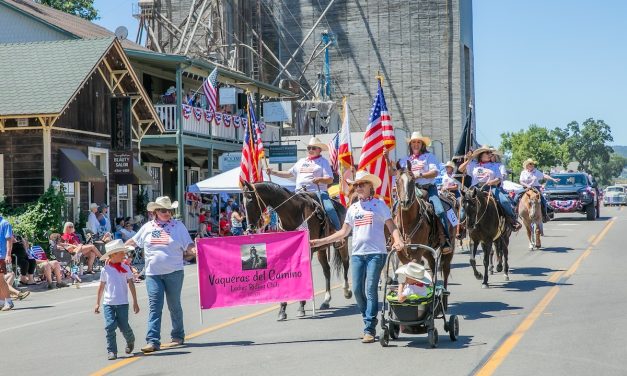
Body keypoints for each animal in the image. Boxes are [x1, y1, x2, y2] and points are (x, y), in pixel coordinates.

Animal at [242, 180, 354, 320]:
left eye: (250, 199)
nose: (249, 229)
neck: (292, 214)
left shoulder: (307, 251)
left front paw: (301, 306)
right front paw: (282, 309)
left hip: (342, 243)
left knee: (346, 262)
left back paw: (347, 291)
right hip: (321, 249)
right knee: (326, 270)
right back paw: (326, 300)